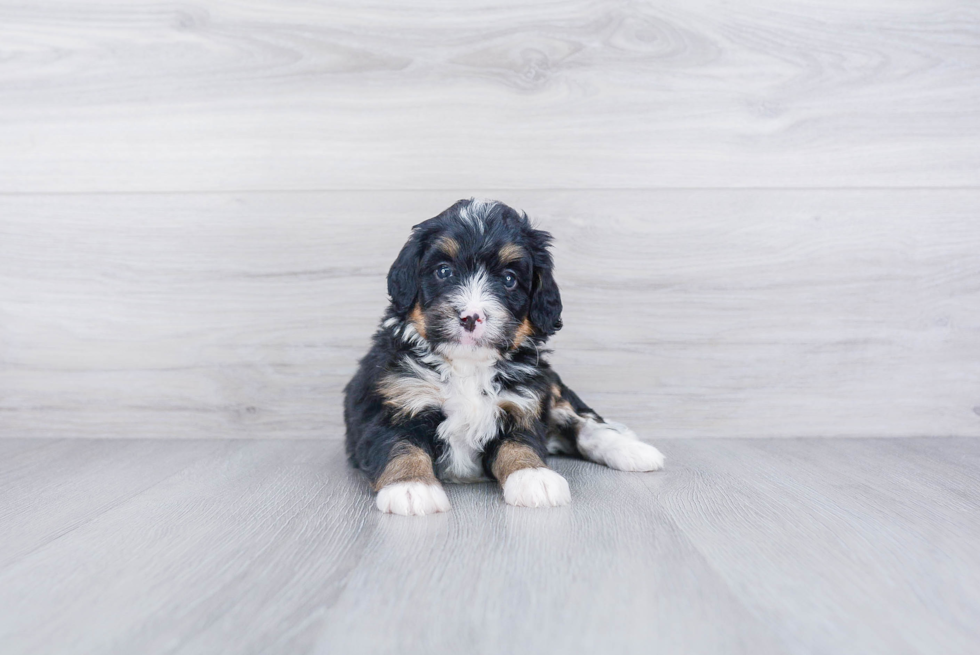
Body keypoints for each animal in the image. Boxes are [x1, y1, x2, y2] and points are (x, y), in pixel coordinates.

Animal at [344, 197, 668, 516]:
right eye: (444, 271)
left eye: (509, 279)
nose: (471, 317)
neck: (468, 365)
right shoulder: (394, 401)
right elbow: (401, 444)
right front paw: (411, 487)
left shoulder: (522, 403)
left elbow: (520, 443)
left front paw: (533, 476)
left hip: (549, 384)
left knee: (582, 422)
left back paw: (633, 450)